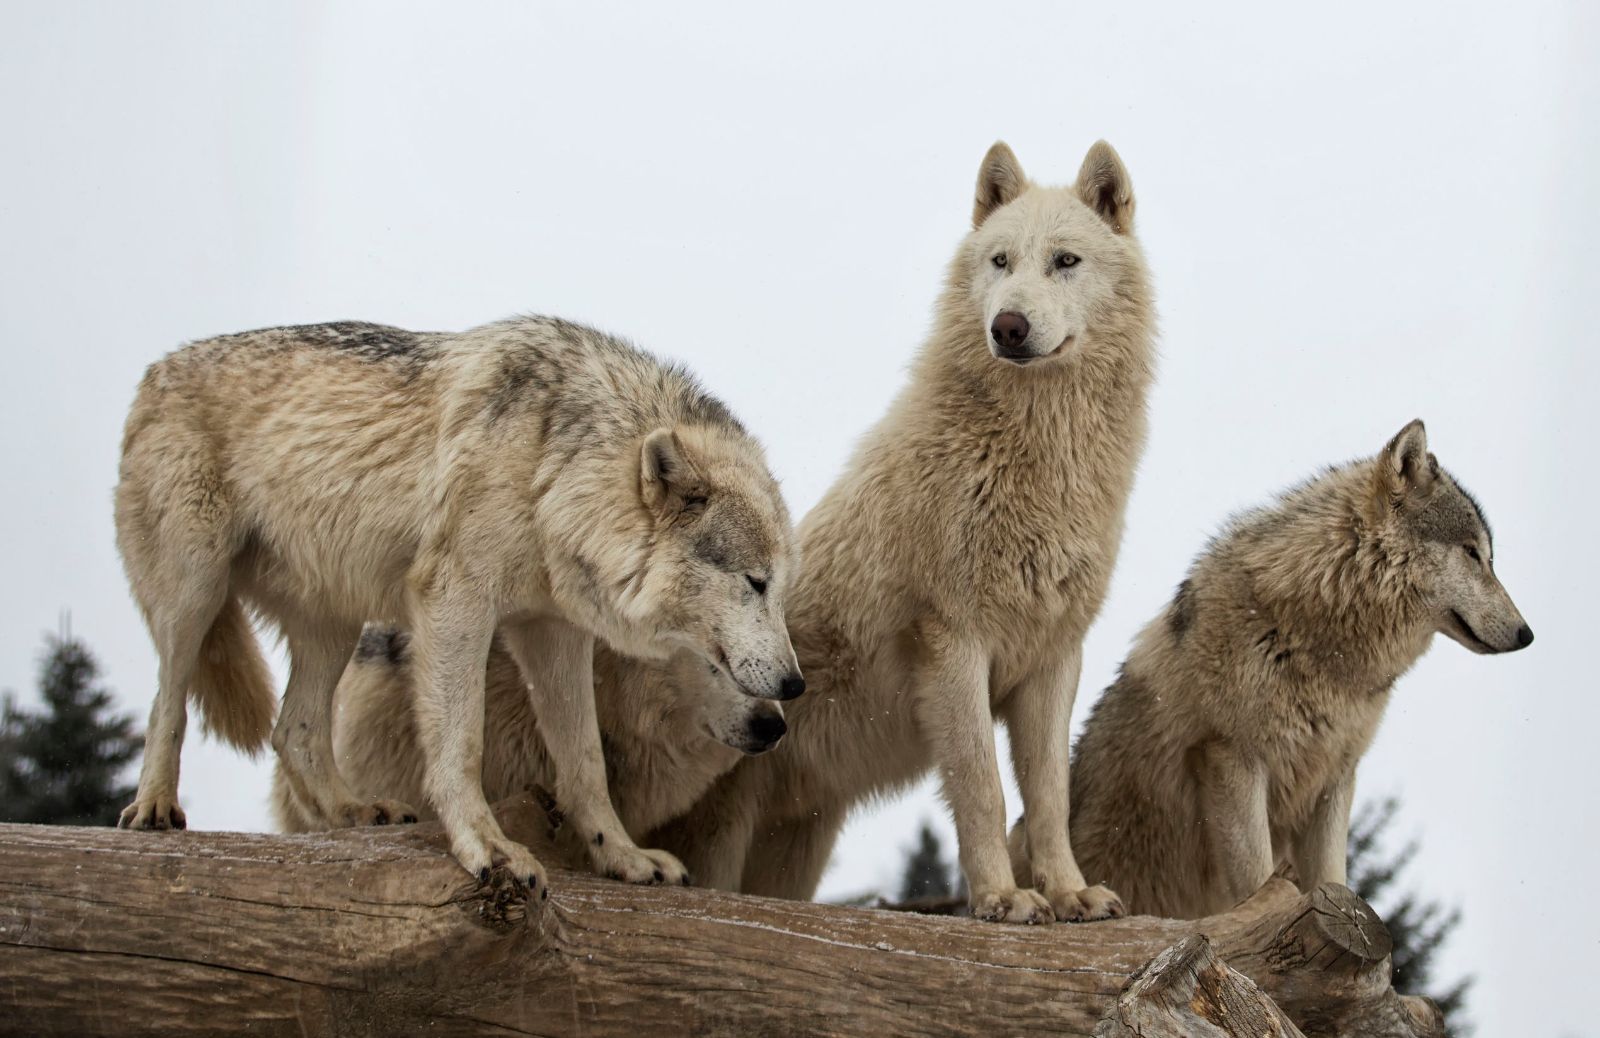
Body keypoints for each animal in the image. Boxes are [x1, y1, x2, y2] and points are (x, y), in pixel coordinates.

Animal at [112, 315, 800, 889]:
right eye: (755, 581)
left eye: (778, 584)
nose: (793, 690)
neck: (551, 471)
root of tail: (157, 368)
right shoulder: (454, 602)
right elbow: (462, 743)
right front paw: (488, 849)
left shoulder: (554, 630)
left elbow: (584, 764)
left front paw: (623, 858)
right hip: (195, 591)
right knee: (168, 700)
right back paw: (153, 807)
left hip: (335, 626)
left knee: (295, 730)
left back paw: (355, 811)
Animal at [646, 139, 1152, 921]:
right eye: (1001, 261)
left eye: (1065, 261)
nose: (1008, 326)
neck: (1034, 459)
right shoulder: (954, 644)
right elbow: (982, 787)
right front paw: (1003, 900)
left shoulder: (1053, 659)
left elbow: (1048, 796)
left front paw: (1070, 893)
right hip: (721, 834)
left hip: (795, 850)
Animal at [1011, 419, 1536, 914]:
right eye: (1473, 553)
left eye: (1488, 556)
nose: (1527, 635)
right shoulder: (1233, 760)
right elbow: (1258, 882)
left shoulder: (1335, 778)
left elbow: (1333, 881)